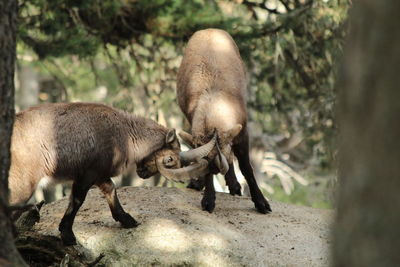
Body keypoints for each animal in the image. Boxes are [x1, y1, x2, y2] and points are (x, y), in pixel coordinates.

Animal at [7, 103, 214, 246]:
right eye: (170, 158)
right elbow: (78, 199)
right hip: (22, 185)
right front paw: (68, 235)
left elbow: (110, 189)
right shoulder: (88, 172)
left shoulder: (99, 174)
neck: (125, 134)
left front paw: (127, 220)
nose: (143, 173)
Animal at [178, 28, 272, 215]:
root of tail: (209, 29)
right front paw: (208, 200)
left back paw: (234, 186)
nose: (216, 169)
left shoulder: (243, 133)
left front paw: (261, 202)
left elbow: (246, 167)